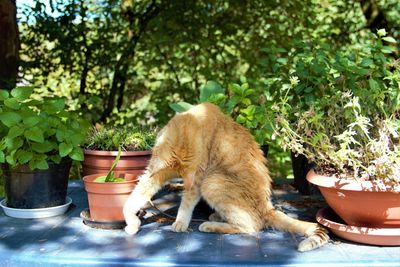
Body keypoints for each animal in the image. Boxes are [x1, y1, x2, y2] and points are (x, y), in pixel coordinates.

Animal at [122, 102, 328, 251]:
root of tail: (267, 206)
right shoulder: (154, 174)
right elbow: (131, 201)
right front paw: (132, 223)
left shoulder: (198, 179)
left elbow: (186, 205)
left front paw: (180, 222)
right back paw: (216, 217)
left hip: (211, 181)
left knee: (251, 227)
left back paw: (209, 225)